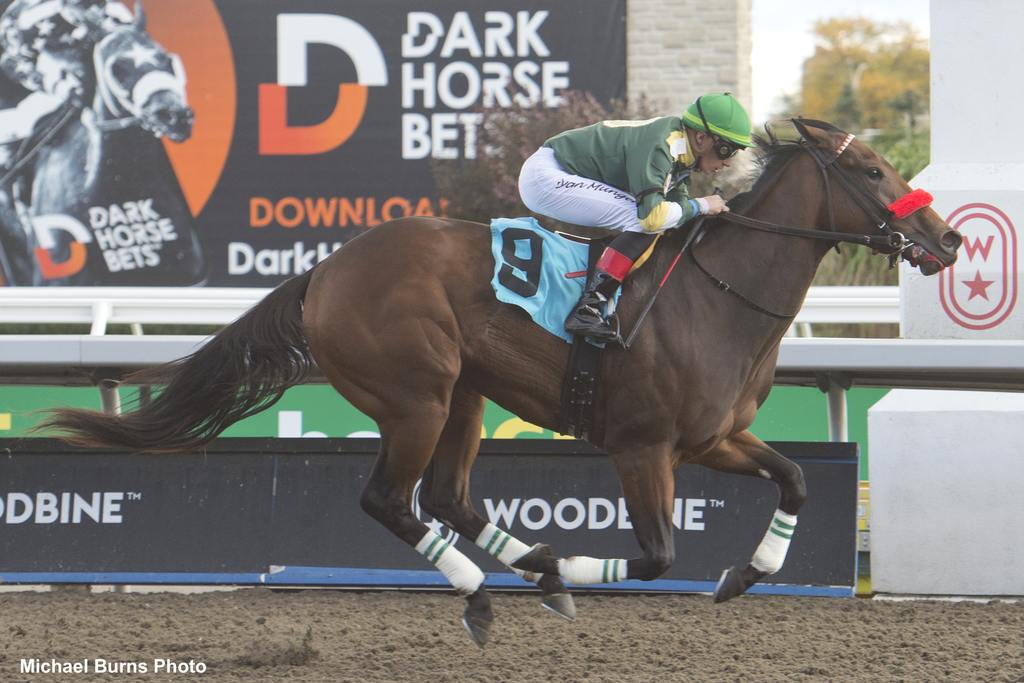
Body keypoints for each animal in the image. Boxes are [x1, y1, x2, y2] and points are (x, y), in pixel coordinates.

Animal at [44, 118, 958, 647]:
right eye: (871, 172)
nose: (946, 239)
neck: (719, 295)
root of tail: (325, 271)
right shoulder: (644, 447)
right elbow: (658, 553)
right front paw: (587, 568)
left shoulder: (717, 436)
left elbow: (797, 476)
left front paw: (746, 574)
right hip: (418, 392)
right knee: (392, 500)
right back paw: (491, 591)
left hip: (466, 396)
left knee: (450, 498)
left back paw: (536, 568)